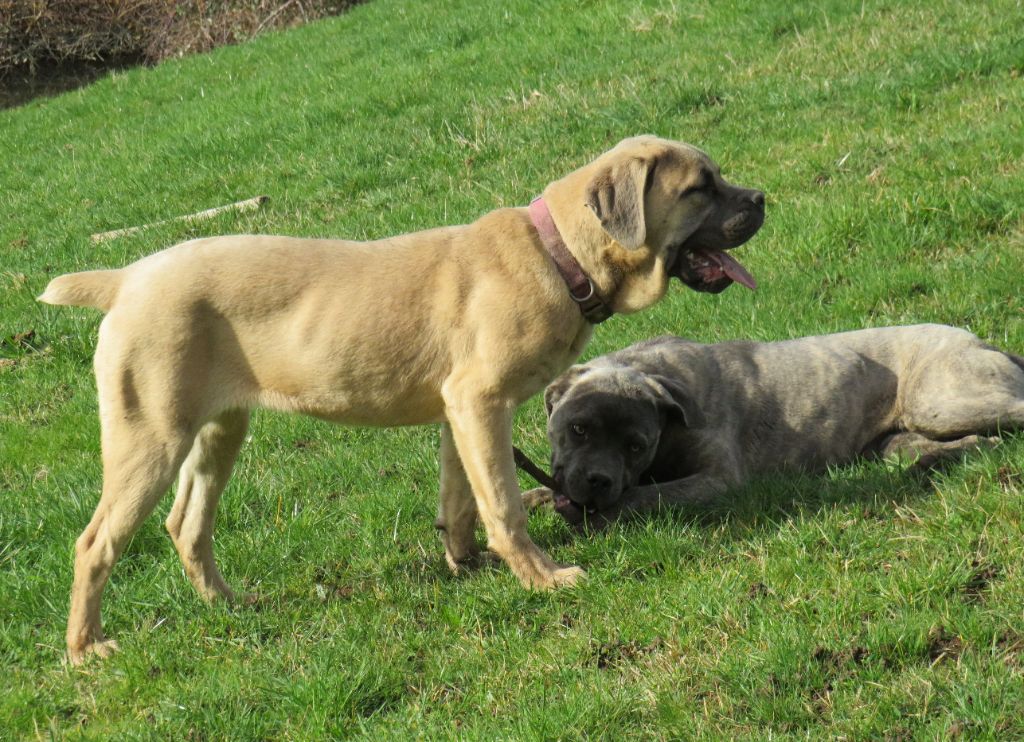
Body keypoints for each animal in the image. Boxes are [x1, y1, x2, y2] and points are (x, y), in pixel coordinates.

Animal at [39, 136, 765, 663]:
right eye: (700, 187)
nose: (762, 197)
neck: (559, 257)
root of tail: (125, 279)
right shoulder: (481, 402)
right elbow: (504, 503)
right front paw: (542, 578)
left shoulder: (459, 412)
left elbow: (462, 498)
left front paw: (467, 565)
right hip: (150, 435)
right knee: (95, 542)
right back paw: (86, 651)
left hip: (218, 428)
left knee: (185, 524)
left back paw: (227, 605)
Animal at [528, 325, 1024, 528]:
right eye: (578, 429)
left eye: (635, 446)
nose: (598, 480)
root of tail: (980, 341)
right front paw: (537, 499)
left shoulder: (717, 478)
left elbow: (646, 496)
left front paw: (601, 513)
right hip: (901, 438)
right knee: (971, 443)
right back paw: (930, 465)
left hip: (939, 401)